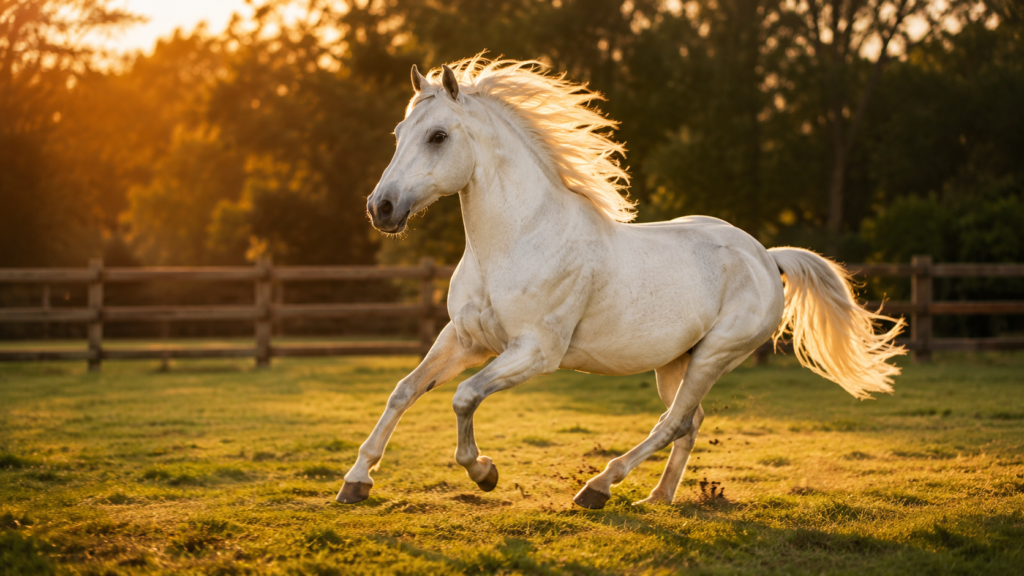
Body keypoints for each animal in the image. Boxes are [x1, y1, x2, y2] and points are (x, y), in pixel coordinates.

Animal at [337, 57, 905, 509]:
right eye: (398, 135)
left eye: (438, 136)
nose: (380, 208)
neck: (517, 241)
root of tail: (765, 255)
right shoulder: (465, 339)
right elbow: (404, 390)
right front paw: (356, 482)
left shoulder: (535, 352)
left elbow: (463, 396)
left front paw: (484, 472)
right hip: (676, 361)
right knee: (689, 421)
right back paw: (659, 497)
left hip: (716, 355)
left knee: (672, 423)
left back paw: (598, 488)